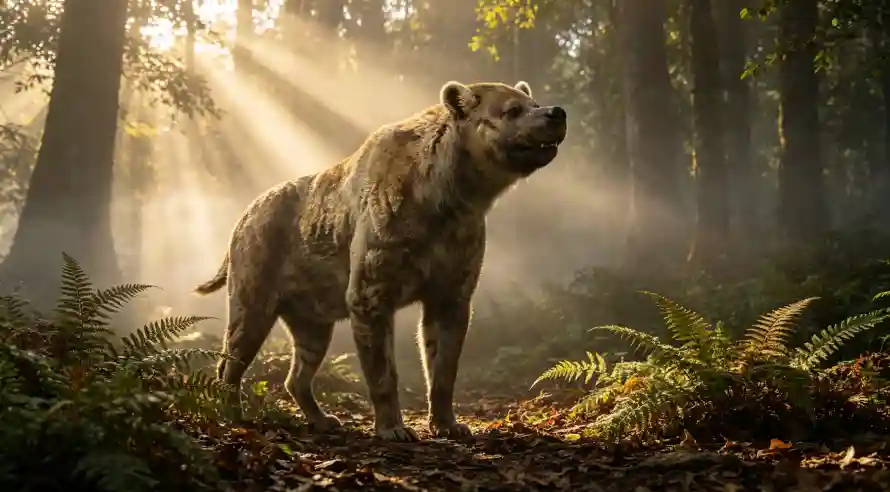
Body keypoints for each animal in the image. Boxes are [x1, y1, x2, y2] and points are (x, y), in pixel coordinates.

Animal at [195, 80, 567, 441]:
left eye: (533, 103)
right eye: (512, 109)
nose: (556, 112)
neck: (456, 202)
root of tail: (245, 213)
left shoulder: (451, 293)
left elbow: (444, 367)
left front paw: (448, 424)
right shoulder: (370, 293)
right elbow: (383, 372)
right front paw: (393, 429)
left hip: (312, 320)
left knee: (297, 375)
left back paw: (323, 420)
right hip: (252, 303)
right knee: (230, 363)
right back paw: (233, 415)